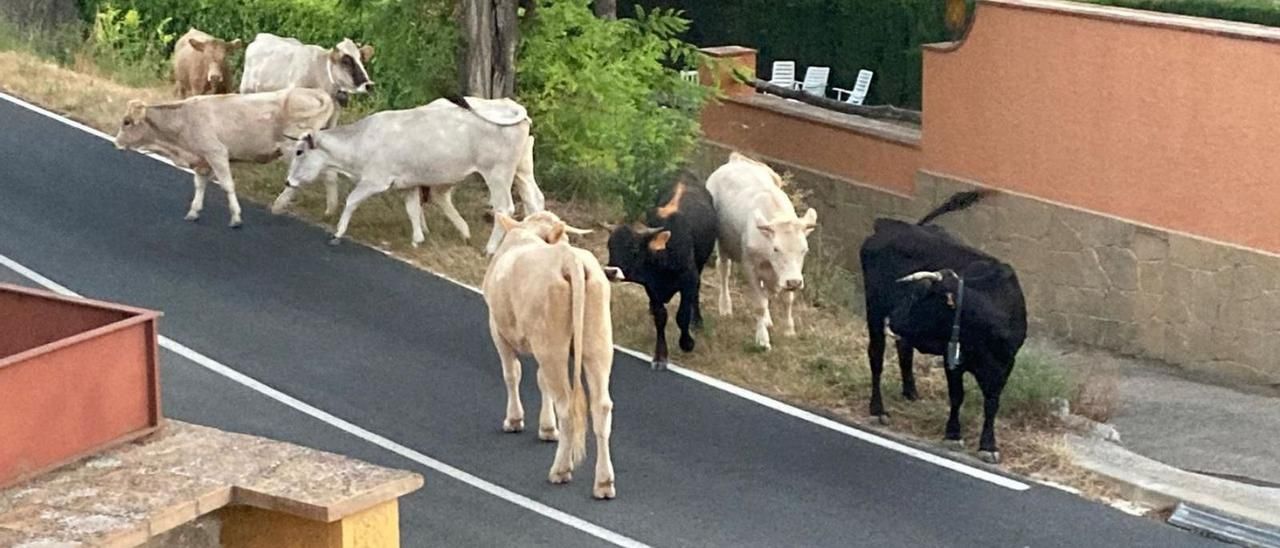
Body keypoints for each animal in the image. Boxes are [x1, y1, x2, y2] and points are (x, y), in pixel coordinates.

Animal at [113, 87, 337, 226]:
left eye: (127, 122)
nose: (117, 141)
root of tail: (313, 91)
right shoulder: (201, 159)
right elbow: (199, 185)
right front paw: (194, 211)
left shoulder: (217, 153)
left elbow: (227, 185)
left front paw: (236, 217)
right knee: (330, 175)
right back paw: (330, 210)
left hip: (294, 149)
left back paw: (280, 205)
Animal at [285, 96, 545, 254]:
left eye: (299, 152)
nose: (287, 181)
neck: (362, 140)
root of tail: (510, 105)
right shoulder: (408, 183)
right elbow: (412, 209)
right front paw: (418, 238)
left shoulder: (375, 180)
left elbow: (352, 200)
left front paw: (338, 232)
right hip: (521, 170)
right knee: (535, 201)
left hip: (497, 174)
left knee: (504, 209)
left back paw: (490, 249)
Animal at [604, 181, 716, 371]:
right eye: (609, 246)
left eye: (634, 249)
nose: (610, 271)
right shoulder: (651, 288)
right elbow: (660, 317)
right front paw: (660, 356)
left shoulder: (689, 280)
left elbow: (682, 315)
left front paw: (687, 343)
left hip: (701, 265)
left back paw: (697, 321)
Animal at [706, 153, 814, 350]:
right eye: (776, 249)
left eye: (804, 250)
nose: (794, 282)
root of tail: (735, 160)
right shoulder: (750, 268)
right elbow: (760, 305)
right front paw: (762, 340)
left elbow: (787, 300)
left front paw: (789, 330)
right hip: (722, 243)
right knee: (724, 270)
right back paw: (725, 307)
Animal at [860, 188, 1029, 463]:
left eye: (919, 298)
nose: (895, 318)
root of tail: (888, 227)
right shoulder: (955, 361)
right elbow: (957, 395)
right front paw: (953, 434)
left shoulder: (1005, 364)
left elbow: (992, 402)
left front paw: (988, 445)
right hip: (874, 308)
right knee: (876, 355)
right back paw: (878, 410)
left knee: (904, 349)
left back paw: (910, 392)